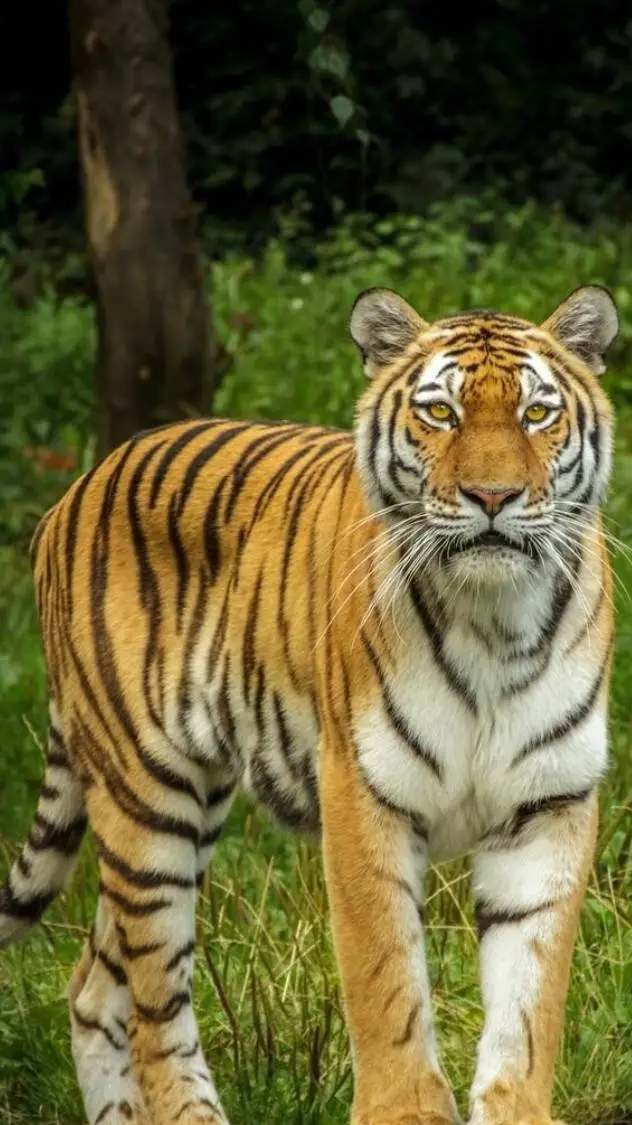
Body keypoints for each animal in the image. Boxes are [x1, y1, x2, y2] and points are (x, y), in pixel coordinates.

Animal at [0, 283, 617, 1125]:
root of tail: (78, 486)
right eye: (441, 412)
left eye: (535, 413)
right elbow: (384, 976)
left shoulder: (550, 803)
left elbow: (531, 1000)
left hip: (184, 805)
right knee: (155, 1004)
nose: (493, 495)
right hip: (146, 797)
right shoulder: (362, 790)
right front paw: (404, 1111)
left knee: (96, 986)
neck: (495, 620)